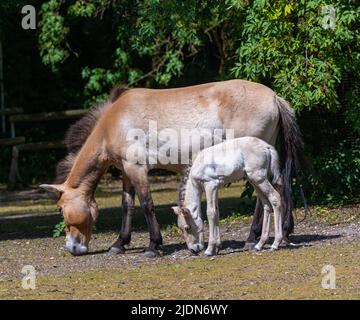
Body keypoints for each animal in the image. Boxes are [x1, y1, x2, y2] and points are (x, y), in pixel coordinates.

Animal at [40, 80, 304, 258]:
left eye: (60, 209)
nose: (73, 248)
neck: (115, 121)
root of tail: (274, 97)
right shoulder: (126, 171)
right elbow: (127, 205)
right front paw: (119, 244)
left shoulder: (137, 169)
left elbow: (147, 204)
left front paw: (153, 245)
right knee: (275, 193)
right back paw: (275, 236)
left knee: (265, 199)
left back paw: (253, 239)